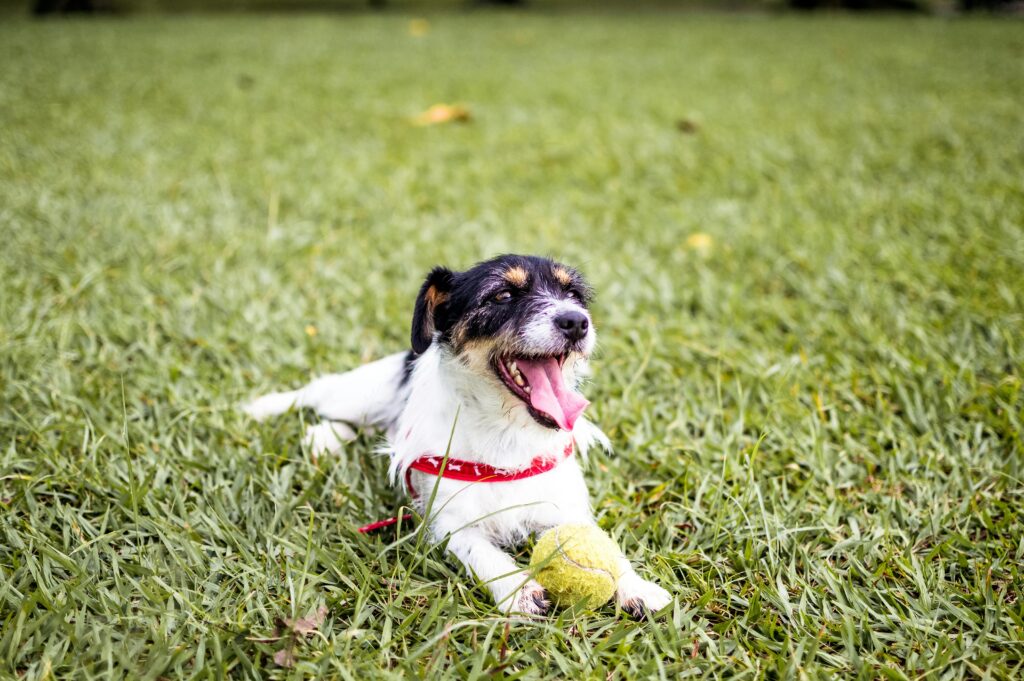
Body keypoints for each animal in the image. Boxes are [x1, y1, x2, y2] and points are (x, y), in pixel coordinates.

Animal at [244, 253, 675, 614]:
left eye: (573, 294)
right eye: (502, 295)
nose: (576, 321)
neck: (507, 432)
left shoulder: (563, 508)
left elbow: (605, 547)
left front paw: (637, 586)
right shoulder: (449, 522)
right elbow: (483, 552)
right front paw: (518, 589)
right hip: (359, 394)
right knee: (319, 393)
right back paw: (279, 415)